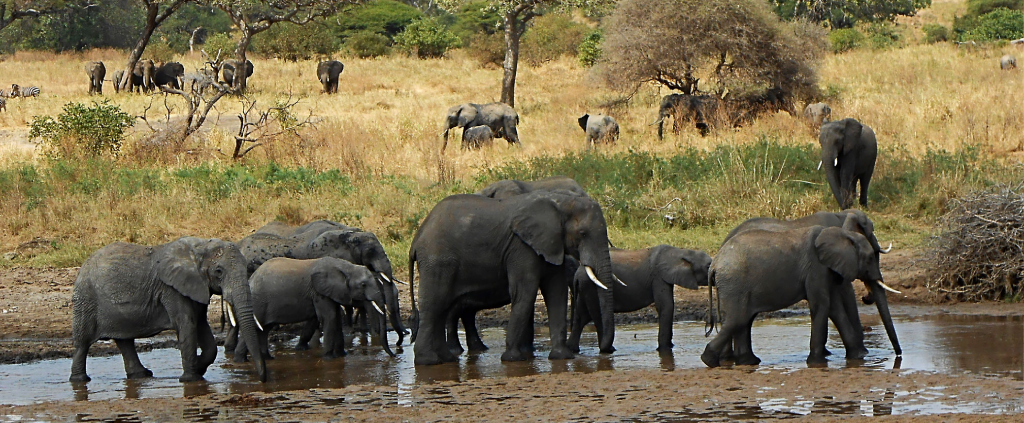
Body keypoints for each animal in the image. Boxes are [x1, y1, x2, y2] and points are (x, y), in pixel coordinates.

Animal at [69, 237, 266, 383]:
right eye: (219, 271)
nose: (263, 379)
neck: (199, 248)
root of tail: (83, 266)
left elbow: (202, 327)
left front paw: (199, 368)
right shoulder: (172, 289)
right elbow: (187, 326)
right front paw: (191, 379)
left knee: (124, 340)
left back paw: (142, 375)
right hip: (86, 299)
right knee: (83, 342)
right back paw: (80, 380)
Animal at [232, 255, 395, 360]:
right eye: (363, 285)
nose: (394, 355)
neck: (345, 266)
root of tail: (251, 278)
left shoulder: (331, 292)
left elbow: (335, 318)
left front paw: (342, 355)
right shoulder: (318, 291)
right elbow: (330, 317)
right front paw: (328, 358)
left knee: (264, 329)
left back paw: (265, 359)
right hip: (258, 302)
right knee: (256, 327)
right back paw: (240, 360)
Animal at [409, 189, 614, 364]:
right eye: (582, 233)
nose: (607, 351)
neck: (561, 202)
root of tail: (417, 239)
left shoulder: (551, 244)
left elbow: (556, 292)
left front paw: (562, 357)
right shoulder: (521, 247)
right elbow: (526, 292)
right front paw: (513, 359)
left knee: (442, 308)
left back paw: (447, 359)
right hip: (438, 260)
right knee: (435, 304)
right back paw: (428, 361)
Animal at [569, 243, 712, 352]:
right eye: (708, 266)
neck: (680, 252)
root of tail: (578, 272)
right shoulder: (658, 276)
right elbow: (666, 306)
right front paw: (665, 349)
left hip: (585, 288)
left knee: (581, 317)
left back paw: (574, 350)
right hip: (590, 287)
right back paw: (609, 350)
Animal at [704, 224, 897, 366]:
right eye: (870, 258)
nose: (899, 354)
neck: (842, 233)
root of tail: (715, 264)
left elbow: (834, 308)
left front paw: (858, 357)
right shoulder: (816, 268)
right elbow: (822, 305)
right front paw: (817, 362)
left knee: (743, 320)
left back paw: (748, 362)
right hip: (734, 284)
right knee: (738, 319)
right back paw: (710, 360)